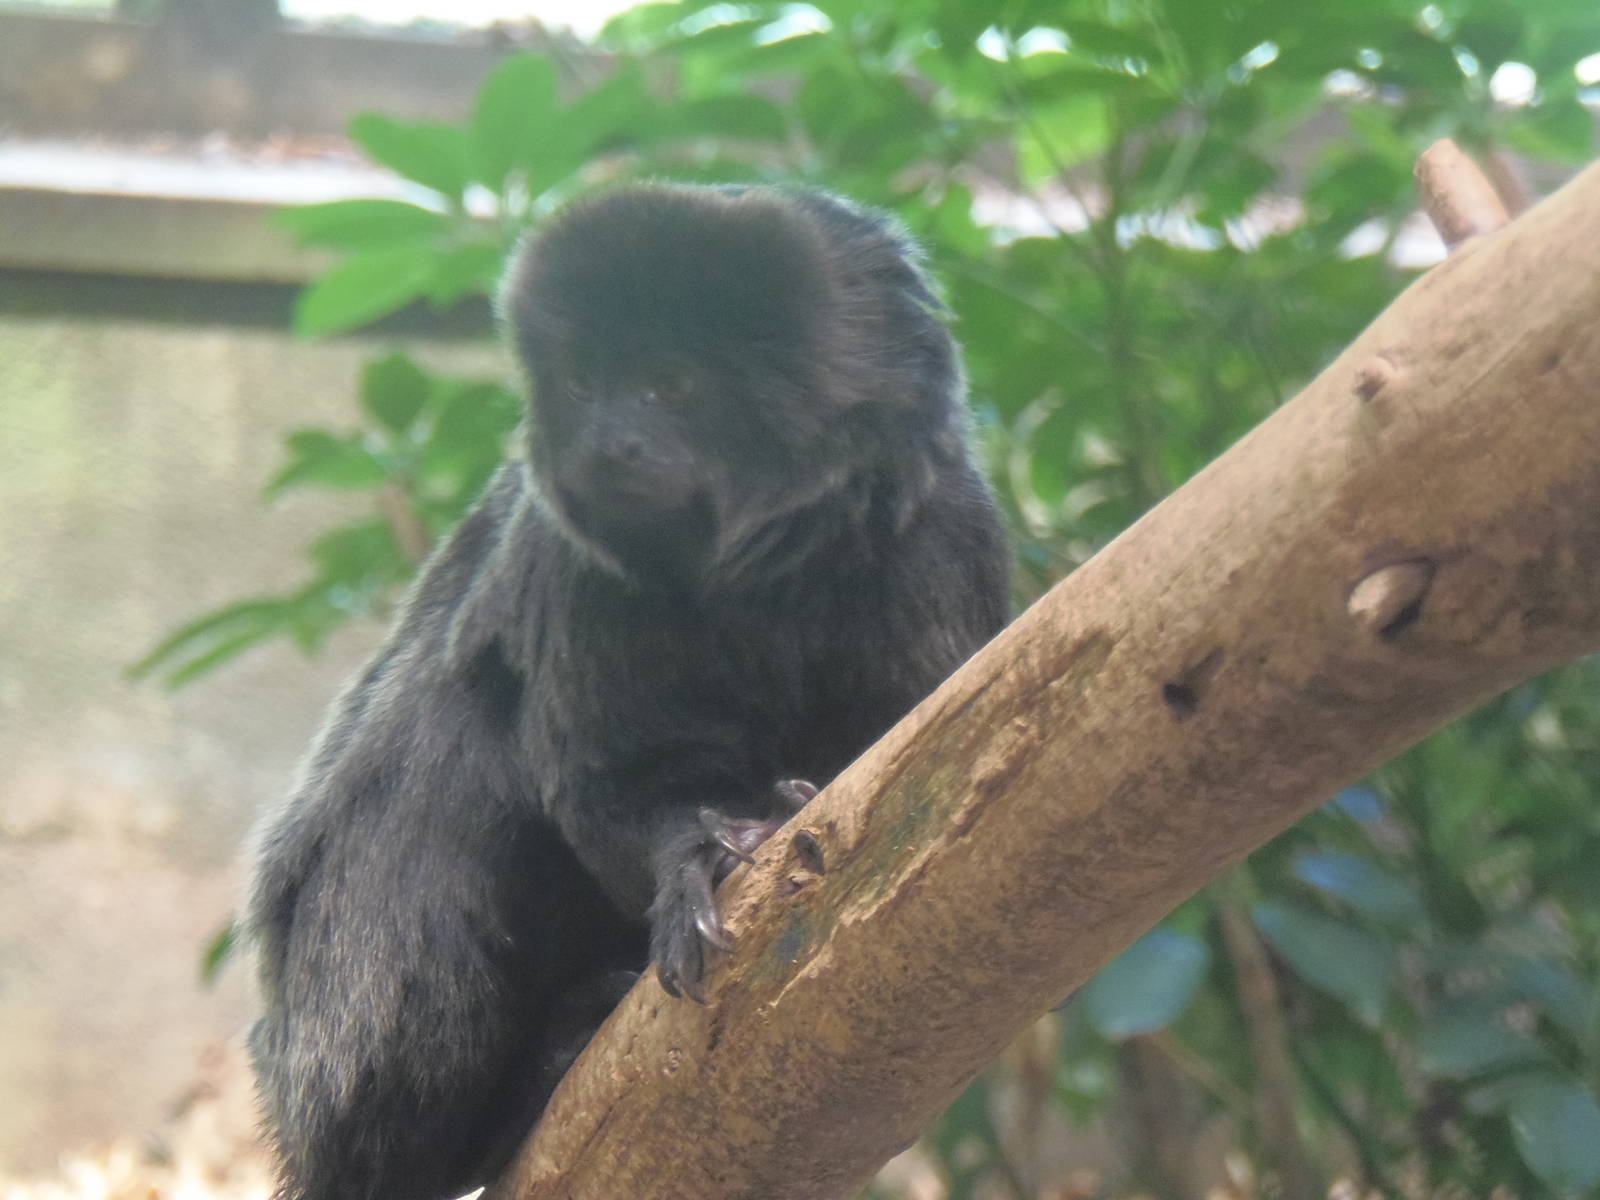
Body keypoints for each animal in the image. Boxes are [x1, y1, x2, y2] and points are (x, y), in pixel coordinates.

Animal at [245, 182, 1011, 1200]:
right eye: (582, 385)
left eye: (669, 384)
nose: (608, 447)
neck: (769, 573)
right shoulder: (574, 571)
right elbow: (615, 784)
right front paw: (703, 852)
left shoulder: (944, 532)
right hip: (334, 1049)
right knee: (450, 747)